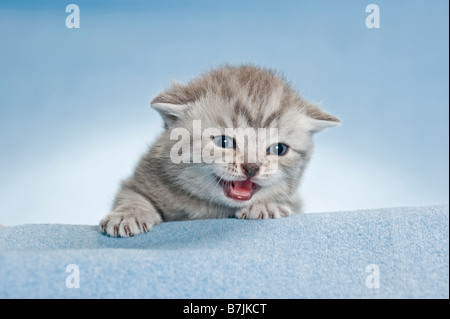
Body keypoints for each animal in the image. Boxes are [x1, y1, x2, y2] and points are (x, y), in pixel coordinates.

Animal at [98, 64, 338, 238]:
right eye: (224, 141)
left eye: (278, 149)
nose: (252, 167)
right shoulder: (141, 177)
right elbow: (131, 195)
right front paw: (128, 215)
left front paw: (266, 205)